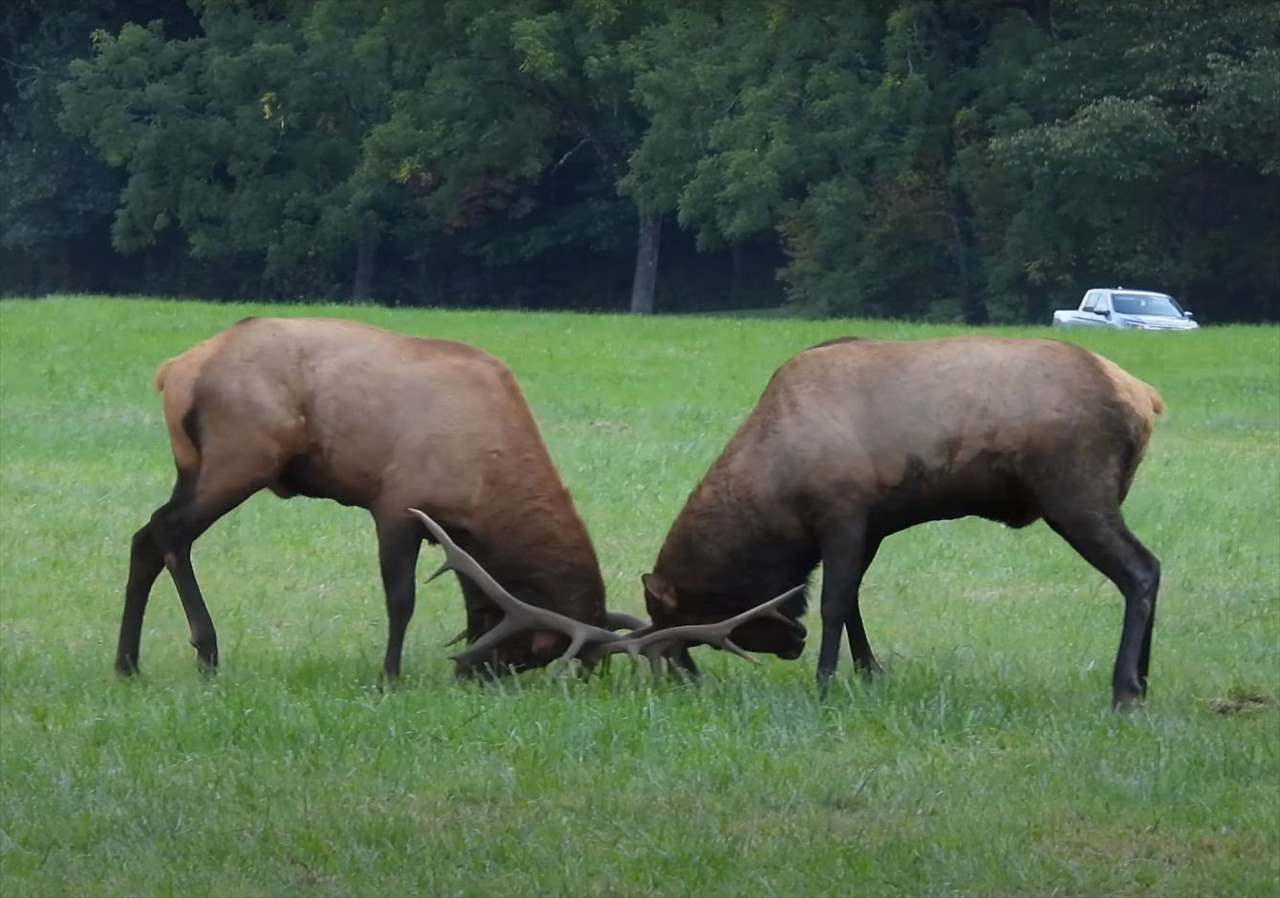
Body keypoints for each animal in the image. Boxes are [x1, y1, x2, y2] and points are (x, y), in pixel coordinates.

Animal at [634, 337, 1167, 711]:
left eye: (682, 623)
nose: (686, 678)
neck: (774, 496)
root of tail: (1145, 397)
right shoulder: (872, 525)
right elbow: (852, 599)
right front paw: (870, 672)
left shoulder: (842, 513)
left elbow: (832, 603)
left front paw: (824, 683)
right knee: (1152, 569)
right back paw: (1143, 681)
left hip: (1076, 495)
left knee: (1141, 569)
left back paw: (1125, 689)